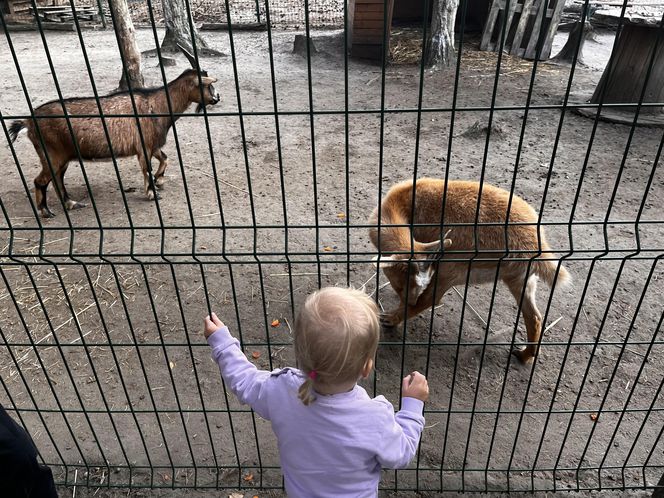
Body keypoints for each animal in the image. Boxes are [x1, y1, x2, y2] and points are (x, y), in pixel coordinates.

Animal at [8, 67, 220, 217]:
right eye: (207, 85)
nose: (217, 98)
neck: (156, 105)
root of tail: (28, 122)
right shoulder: (144, 146)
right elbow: (147, 169)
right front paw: (152, 193)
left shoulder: (152, 145)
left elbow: (165, 158)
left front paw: (159, 180)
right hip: (52, 155)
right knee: (41, 181)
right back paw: (46, 211)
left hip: (62, 157)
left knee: (57, 180)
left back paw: (71, 204)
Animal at [368, 178, 572, 362]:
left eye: (399, 283)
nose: (409, 301)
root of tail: (534, 245)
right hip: (521, 279)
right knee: (535, 317)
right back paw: (524, 355)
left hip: (453, 267)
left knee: (431, 299)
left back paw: (390, 318)